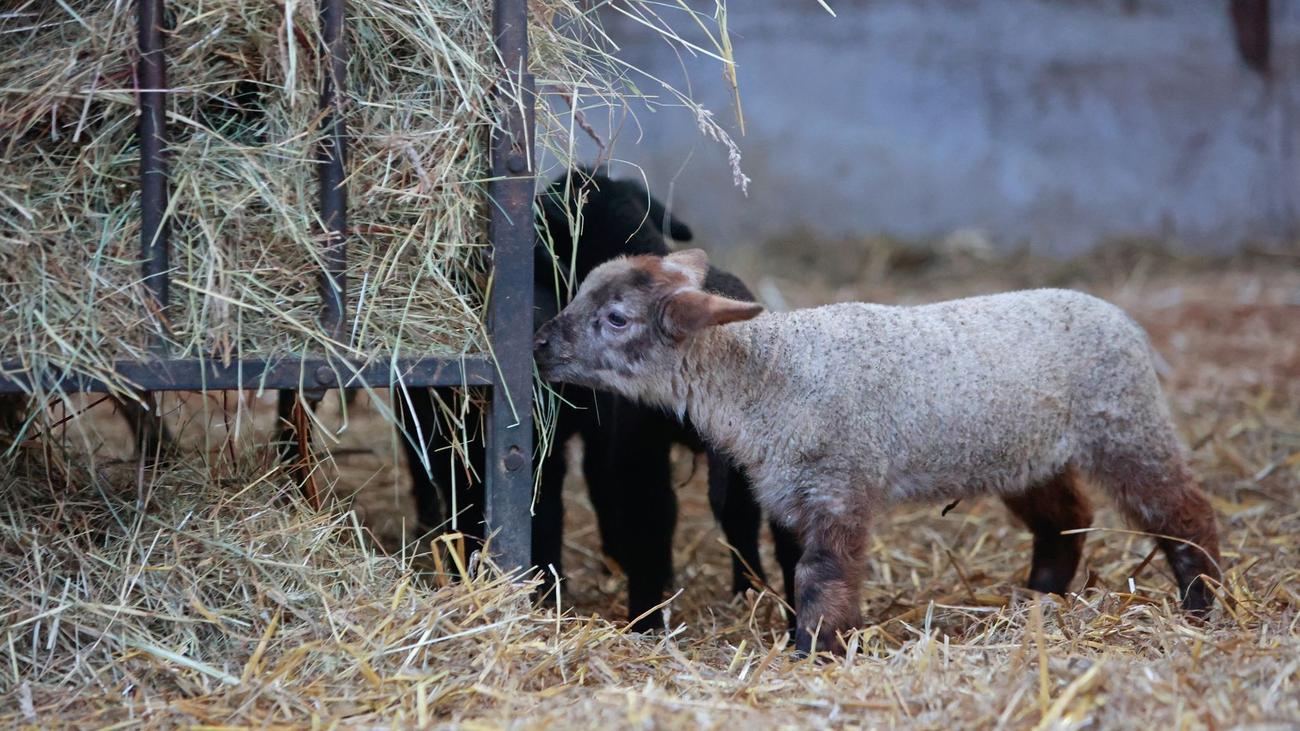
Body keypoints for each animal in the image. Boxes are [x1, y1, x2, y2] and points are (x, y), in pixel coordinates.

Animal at [533, 247, 1222, 650]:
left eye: (617, 318)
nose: (539, 344)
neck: (767, 372)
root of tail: (1121, 317)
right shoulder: (793, 494)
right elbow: (796, 568)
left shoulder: (840, 486)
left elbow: (823, 576)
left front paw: (816, 648)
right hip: (1026, 452)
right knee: (1065, 518)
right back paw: (1039, 597)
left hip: (1125, 423)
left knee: (1182, 511)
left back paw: (1200, 603)